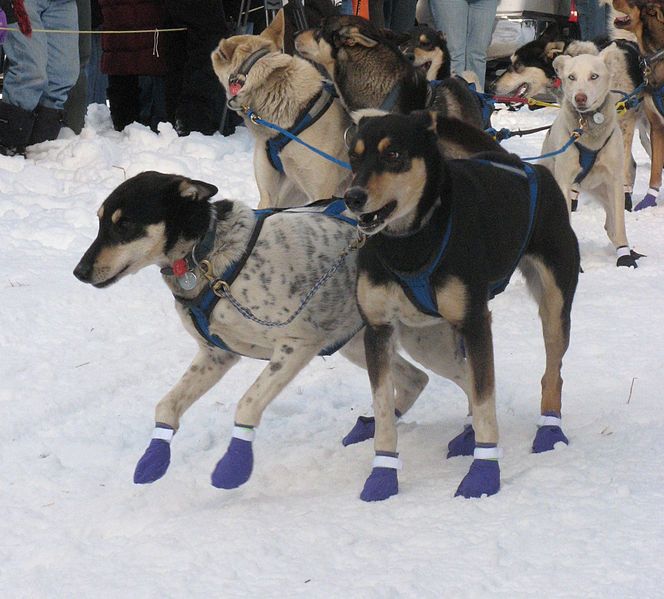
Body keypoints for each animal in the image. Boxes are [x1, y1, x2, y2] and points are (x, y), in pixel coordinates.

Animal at [344, 112, 580, 502]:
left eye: (393, 154)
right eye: (354, 157)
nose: (352, 196)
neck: (409, 243)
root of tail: (525, 166)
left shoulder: (475, 321)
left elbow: (486, 404)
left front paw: (483, 475)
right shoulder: (378, 330)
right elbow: (383, 409)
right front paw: (382, 476)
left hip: (553, 305)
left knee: (553, 371)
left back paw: (549, 430)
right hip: (439, 333)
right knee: (471, 377)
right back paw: (467, 434)